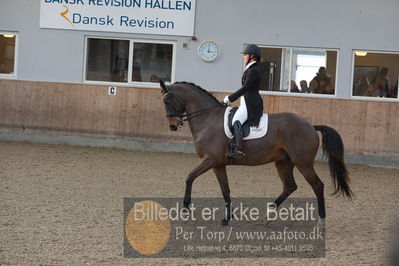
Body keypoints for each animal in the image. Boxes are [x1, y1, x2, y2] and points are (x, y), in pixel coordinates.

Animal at [159, 80, 354, 224]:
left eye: (167, 101)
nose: (173, 126)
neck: (208, 119)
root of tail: (311, 126)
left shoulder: (210, 160)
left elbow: (189, 177)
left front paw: (185, 210)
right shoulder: (218, 164)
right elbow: (225, 189)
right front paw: (227, 218)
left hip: (303, 162)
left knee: (317, 185)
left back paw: (320, 220)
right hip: (283, 162)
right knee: (290, 186)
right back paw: (269, 213)